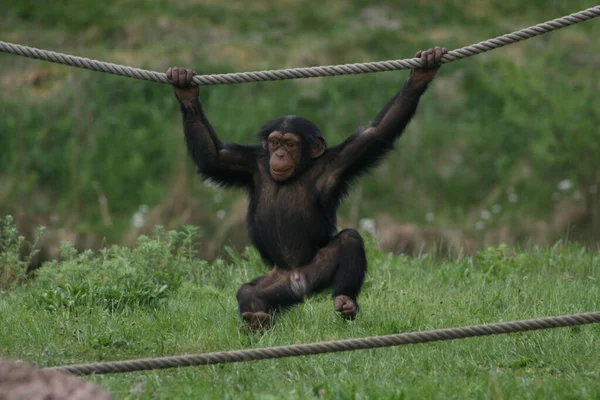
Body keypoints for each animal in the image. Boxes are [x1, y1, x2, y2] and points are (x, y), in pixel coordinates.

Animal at [166, 46, 448, 328]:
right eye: (275, 142)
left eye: (290, 144)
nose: (279, 155)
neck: (296, 173)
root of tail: (299, 285)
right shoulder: (248, 163)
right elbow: (213, 156)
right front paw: (185, 89)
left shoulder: (340, 161)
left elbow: (377, 132)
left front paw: (421, 74)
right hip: (276, 283)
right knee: (249, 293)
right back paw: (256, 320)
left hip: (317, 270)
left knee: (349, 240)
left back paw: (346, 301)